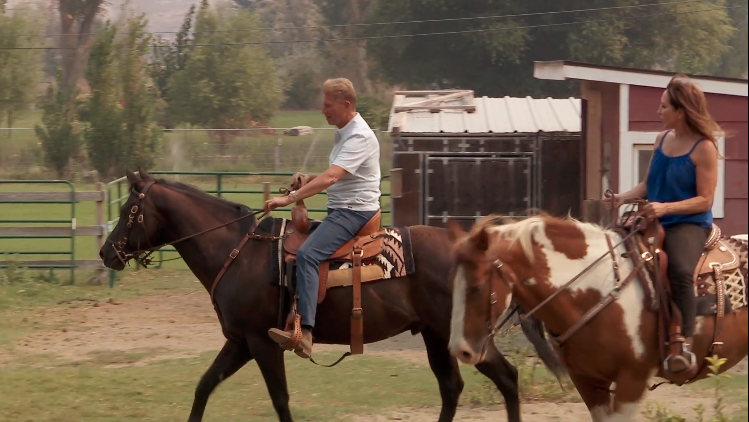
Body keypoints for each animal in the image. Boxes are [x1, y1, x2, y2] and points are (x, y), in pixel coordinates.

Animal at [99, 170, 560, 422]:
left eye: (129, 211)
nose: (106, 252)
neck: (238, 250)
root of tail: (488, 253)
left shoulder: (262, 343)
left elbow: (280, 400)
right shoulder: (240, 342)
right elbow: (203, 387)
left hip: (464, 336)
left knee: (507, 378)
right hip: (435, 335)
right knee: (452, 388)